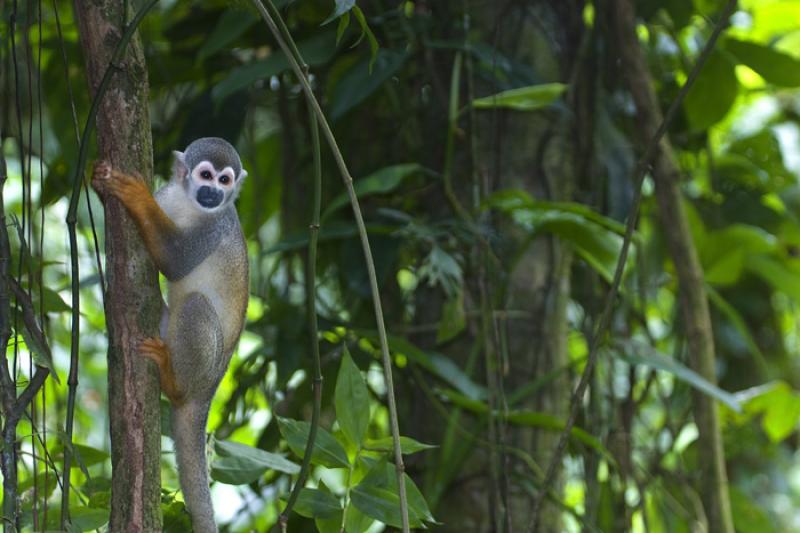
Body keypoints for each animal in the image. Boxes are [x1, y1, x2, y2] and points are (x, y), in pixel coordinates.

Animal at [92, 138, 247, 532]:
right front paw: (99, 183)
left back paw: (173, 383)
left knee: (193, 305)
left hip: (204, 370)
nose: (214, 193)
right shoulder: (169, 194)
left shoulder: (217, 226)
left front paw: (135, 195)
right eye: (206, 175)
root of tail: (208, 391)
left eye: (225, 180)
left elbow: (176, 262)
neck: (190, 205)